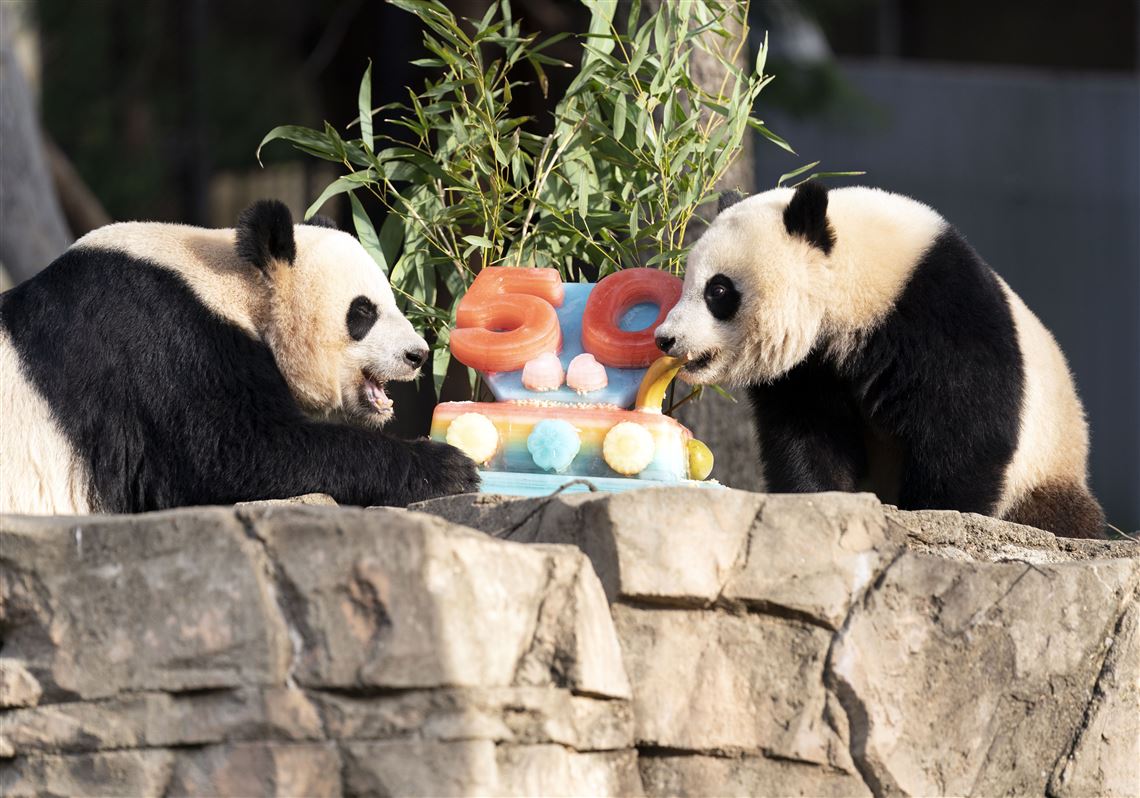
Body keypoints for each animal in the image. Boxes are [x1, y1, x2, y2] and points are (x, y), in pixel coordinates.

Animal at [0, 199, 478, 514]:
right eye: (363, 311)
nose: (417, 355)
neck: (232, 281)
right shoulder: (161, 339)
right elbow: (234, 453)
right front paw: (448, 466)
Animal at [654, 182, 1105, 539]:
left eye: (718, 290)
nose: (665, 338)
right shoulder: (810, 370)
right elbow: (807, 433)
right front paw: (820, 501)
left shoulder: (941, 312)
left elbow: (966, 431)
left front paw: (936, 513)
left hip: (1046, 465)